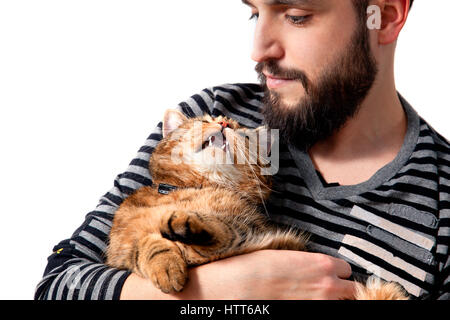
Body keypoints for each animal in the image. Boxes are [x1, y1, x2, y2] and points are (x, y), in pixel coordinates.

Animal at [107, 110, 410, 300]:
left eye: (242, 133)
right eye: (205, 119)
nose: (225, 125)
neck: (199, 187)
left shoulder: (244, 230)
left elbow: (217, 231)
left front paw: (186, 224)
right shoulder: (123, 242)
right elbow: (146, 244)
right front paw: (166, 264)